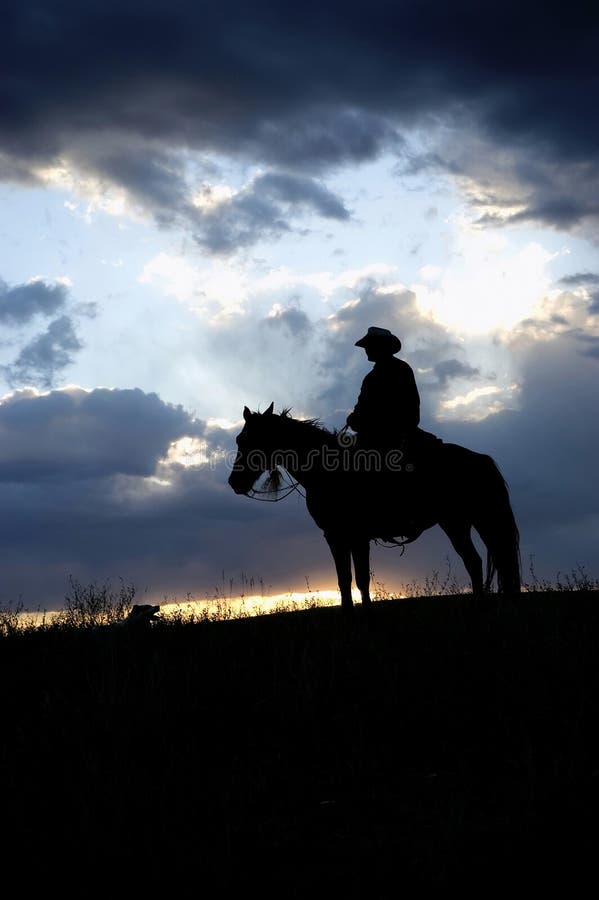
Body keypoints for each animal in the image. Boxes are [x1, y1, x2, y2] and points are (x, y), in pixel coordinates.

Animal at [229, 404, 520, 616]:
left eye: (248, 439)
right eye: (239, 439)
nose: (234, 483)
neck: (328, 471)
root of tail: (481, 459)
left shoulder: (346, 536)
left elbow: (355, 579)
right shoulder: (345, 537)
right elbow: (349, 579)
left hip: (460, 522)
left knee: (474, 561)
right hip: (472, 521)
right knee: (480, 561)